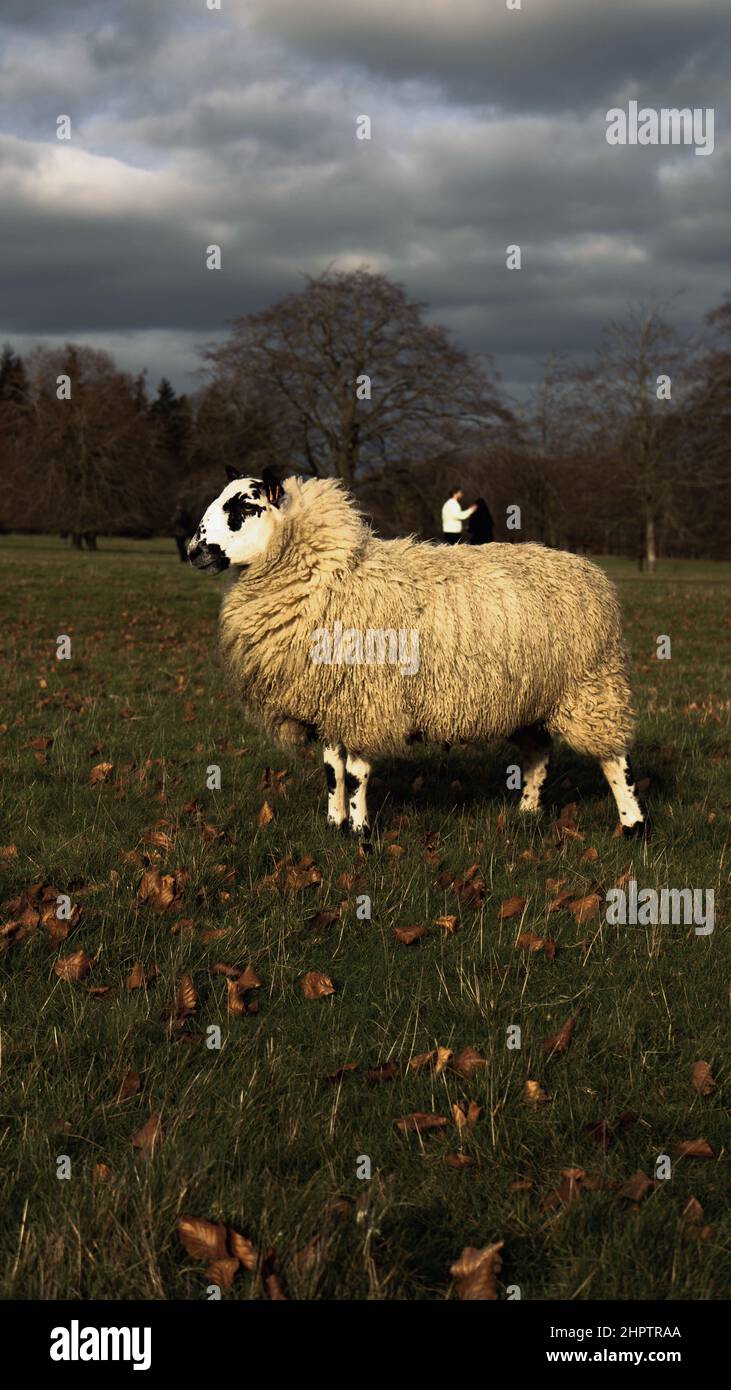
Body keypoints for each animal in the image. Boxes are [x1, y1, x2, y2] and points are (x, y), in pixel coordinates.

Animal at [188, 467, 647, 839]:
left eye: (245, 506)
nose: (194, 551)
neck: (330, 575)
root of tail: (591, 572)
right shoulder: (332, 700)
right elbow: (332, 769)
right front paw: (334, 824)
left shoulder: (366, 700)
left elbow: (356, 772)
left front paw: (360, 831)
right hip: (528, 696)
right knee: (538, 753)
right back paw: (528, 811)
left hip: (591, 688)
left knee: (615, 759)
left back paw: (633, 824)